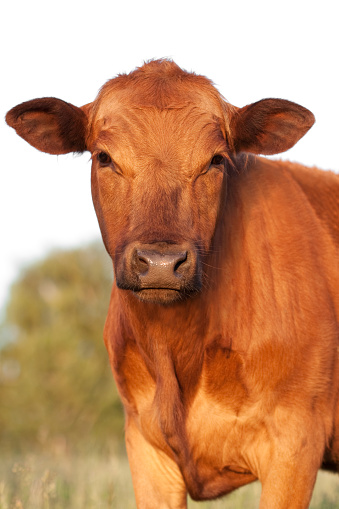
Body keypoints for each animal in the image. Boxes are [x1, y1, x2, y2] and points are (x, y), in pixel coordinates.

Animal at [4, 58, 339, 504]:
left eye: (216, 160)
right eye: (104, 157)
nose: (161, 262)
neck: (177, 349)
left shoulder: (296, 442)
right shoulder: (145, 446)